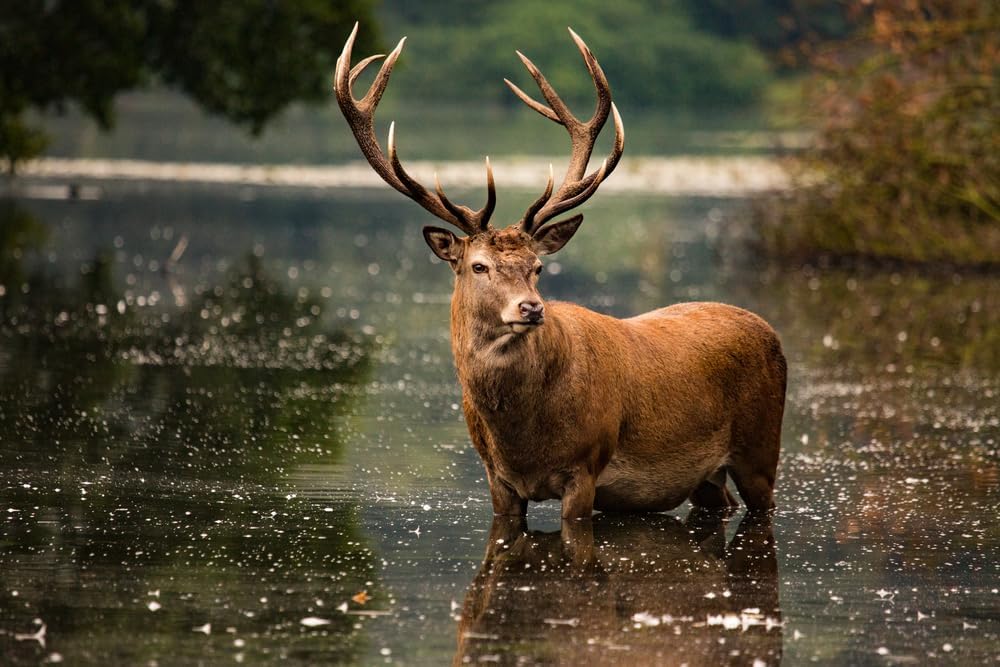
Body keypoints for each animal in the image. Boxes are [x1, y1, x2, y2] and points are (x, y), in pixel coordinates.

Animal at [334, 23, 786, 520]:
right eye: (478, 266)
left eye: (538, 267)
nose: (531, 309)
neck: (521, 442)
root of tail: (770, 331)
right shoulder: (497, 480)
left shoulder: (585, 467)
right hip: (707, 478)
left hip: (761, 447)